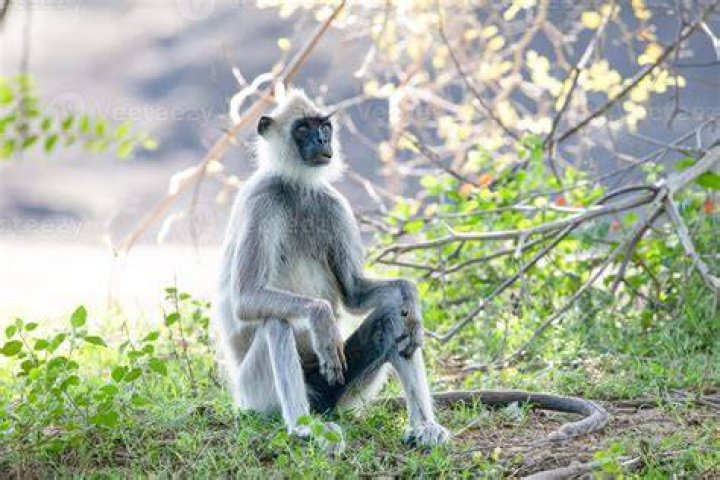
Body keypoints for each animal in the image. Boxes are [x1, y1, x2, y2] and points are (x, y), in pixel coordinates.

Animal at [211, 89, 449, 454]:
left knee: (394, 315)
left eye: (324, 127)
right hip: (255, 396)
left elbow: (355, 293)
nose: (323, 140)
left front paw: (411, 296)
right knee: (276, 321)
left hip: (341, 393)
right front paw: (321, 317)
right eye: (303, 128)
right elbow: (247, 298)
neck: (296, 187)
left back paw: (423, 426)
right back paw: (302, 428)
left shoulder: (332, 203)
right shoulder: (261, 199)